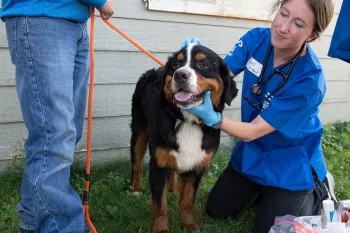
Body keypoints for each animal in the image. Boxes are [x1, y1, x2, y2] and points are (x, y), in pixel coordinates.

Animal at [130, 44, 239, 233]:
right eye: (175, 65)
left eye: (202, 64)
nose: (180, 75)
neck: (188, 121)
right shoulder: (158, 163)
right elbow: (160, 205)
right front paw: (161, 229)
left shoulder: (196, 166)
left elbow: (187, 200)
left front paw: (189, 224)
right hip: (139, 131)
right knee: (136, 163)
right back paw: (136, 189)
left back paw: (172, 186)